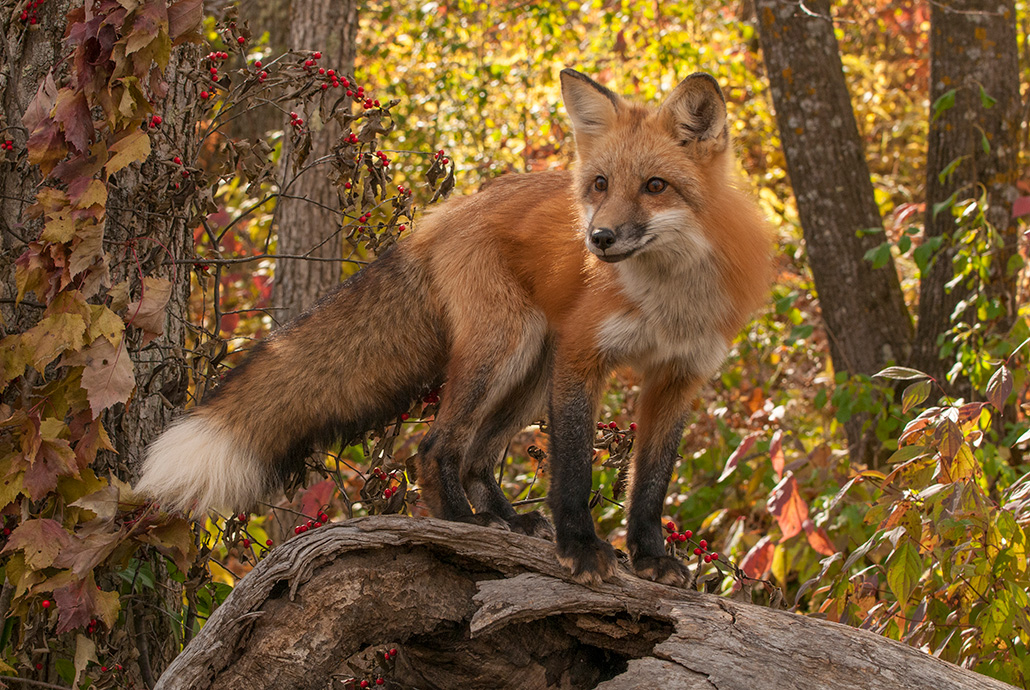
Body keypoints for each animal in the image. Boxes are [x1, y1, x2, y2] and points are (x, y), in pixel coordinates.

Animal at [132, 69, 770, 589]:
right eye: (600, 185)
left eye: (655, 186)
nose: (598, 239)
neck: (669, 297)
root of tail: (449, 211)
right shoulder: (583, 354)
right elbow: (572, 467)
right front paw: (581, 548)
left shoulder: (677, 376)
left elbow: (653, 482)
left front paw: (650, 558)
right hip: (508, 349)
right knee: (437, 446)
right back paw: (465, 523)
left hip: (531, 372)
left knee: (477, 457)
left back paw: (507, 520)